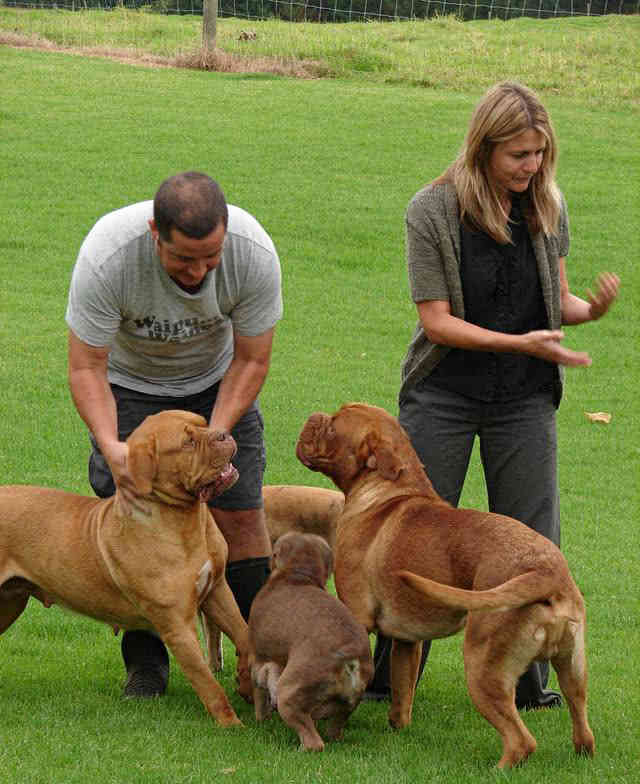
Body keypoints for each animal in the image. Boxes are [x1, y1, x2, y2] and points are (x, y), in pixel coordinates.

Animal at [0, 410, 251, 728]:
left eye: (204, 424)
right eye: (188, 442)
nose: (223, 434)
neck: (184, 519)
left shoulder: (216, 589)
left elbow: (244, 633)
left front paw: (247, 680)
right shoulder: (177, 626)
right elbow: (208, 683)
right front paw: (233, 726)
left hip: (9, 602)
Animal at [246, 532, 376, 748]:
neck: (297, 575)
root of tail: (350, 658)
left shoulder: (257, 660)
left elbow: (259, 693)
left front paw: (260, 719)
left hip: (288, 693)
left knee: (314, 742)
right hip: (345, 707)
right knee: (334, 729)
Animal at [296, 404, 596, 764]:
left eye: (334, 426)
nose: (315, 416)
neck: (387, 490)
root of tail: (547, 572)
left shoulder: (357, 617)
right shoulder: (406, 641)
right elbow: (402, 695)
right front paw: (398, 729)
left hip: (483, 668)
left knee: (521, 741)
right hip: (573, 670)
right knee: (582, 726)